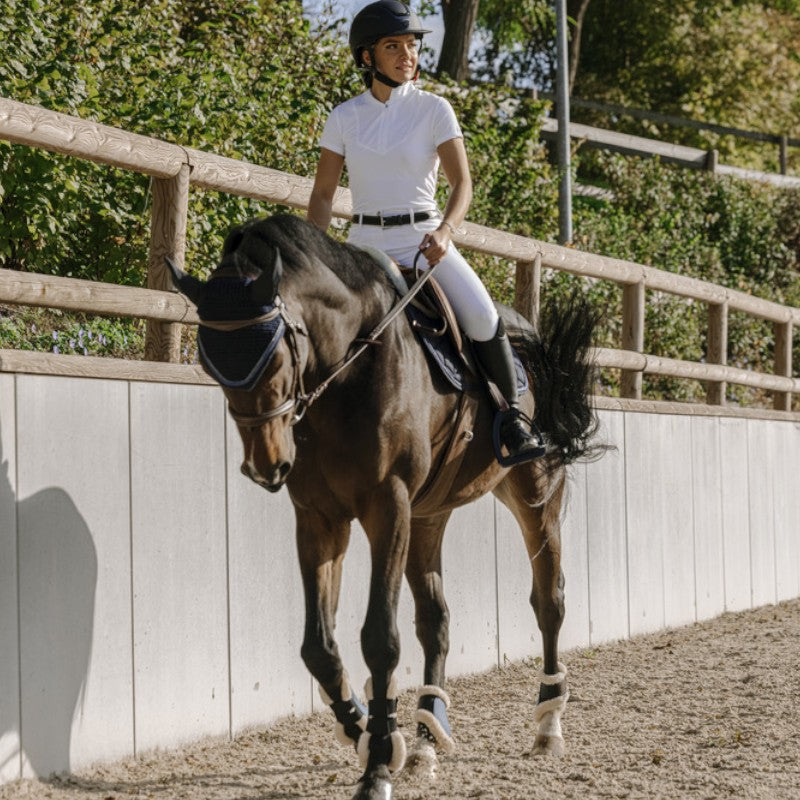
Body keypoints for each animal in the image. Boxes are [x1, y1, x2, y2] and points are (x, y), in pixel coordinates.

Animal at [167, 212, 600, 800]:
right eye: (211, 362)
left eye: (273, 353)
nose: (266, 466)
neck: (346, 372)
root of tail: (531, 343)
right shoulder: (320, 518)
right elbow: (318, 646)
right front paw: (369, 732)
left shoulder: (387, 506)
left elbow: (379, 639)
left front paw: (375, 768)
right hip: (429, 513)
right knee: (436, 621)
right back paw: (424, 740)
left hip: (535, 496)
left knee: (549, 602)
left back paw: (548, 725)